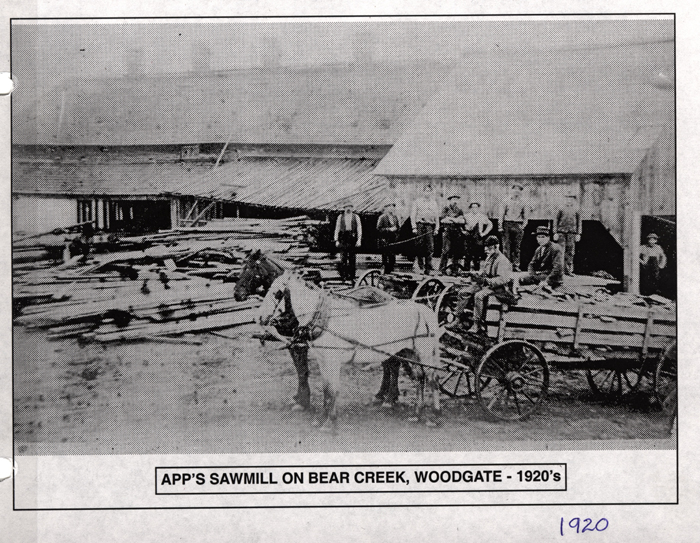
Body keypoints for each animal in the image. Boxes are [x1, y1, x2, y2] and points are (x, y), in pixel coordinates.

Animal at [260, 272, 440, 434]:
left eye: (277, 293)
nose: (260, 317)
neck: (324, 316)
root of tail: (426, 309)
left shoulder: (332, 360)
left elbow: (332, 390)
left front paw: (329, 422)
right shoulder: (322, 359)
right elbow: (326, 389)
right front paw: (322, 418)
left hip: (424, 353)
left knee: (431, 379)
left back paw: (431, 416)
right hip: (409, 352)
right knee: (418, 377)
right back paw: (416, 414)